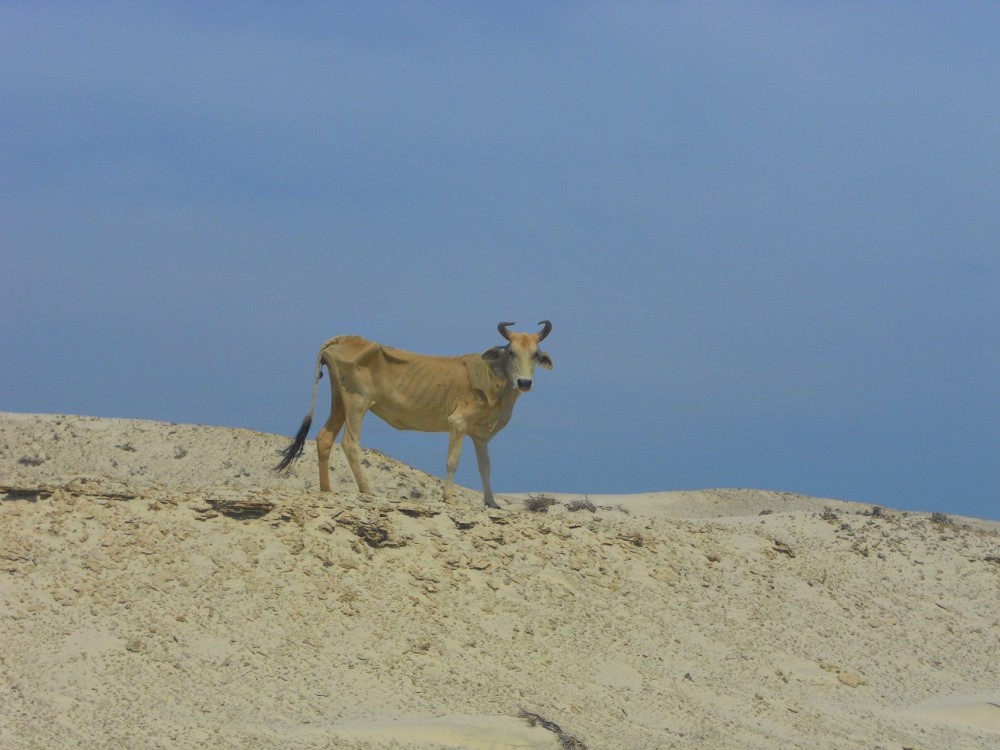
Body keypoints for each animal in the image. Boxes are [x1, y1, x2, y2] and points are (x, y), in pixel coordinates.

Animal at [276, 320, 556, 508]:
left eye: (535, 354)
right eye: (511, 352)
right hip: (357, 403)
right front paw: (448, 496)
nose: (524, 382)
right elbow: (453, 461)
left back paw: (326, 489)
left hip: (339, 401)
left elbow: (485, 467)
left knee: (324, 438)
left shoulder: (479, 436)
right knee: (350, 443)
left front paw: (492, 503)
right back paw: (367, 490)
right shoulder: (458, 423)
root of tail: (342, 339)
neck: (493, 377)